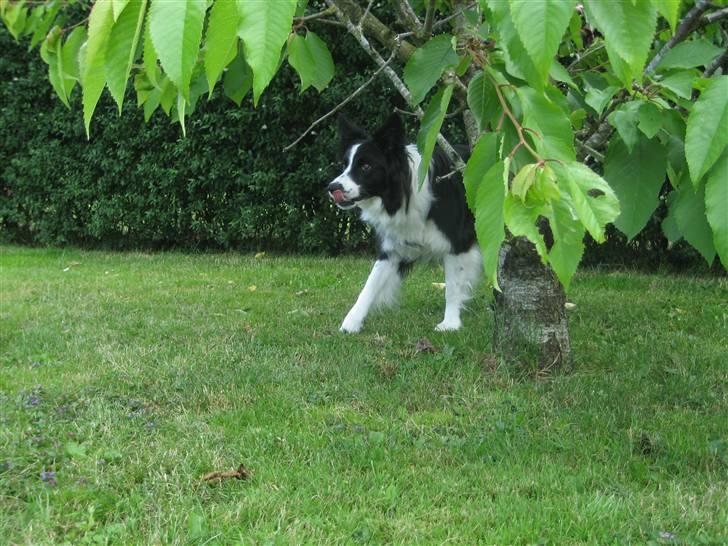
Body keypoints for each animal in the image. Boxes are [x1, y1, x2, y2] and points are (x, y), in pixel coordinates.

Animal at [328, 112, 480, 330]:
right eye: (345, 165)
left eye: (365, 166)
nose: (332, 188)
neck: (403, 195)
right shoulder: (393, 247)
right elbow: (370, 285)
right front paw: (351, 323)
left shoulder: (457, 242)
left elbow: (452, 286)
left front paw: (450, 323)